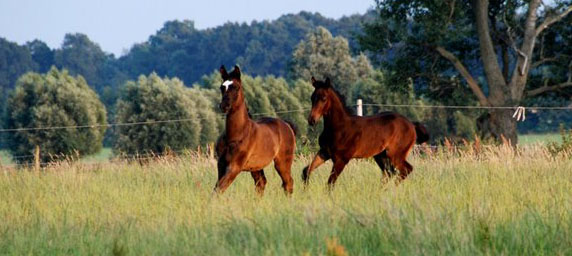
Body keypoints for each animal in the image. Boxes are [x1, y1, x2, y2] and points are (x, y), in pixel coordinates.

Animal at [213, 65, 298, 195]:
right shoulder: (221, 165)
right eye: (222, 87)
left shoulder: (234, 167)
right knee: (261, 184)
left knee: (288, 183)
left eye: (236, 87)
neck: (236, 134)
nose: (224, 106)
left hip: (282, 162)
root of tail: (287, 125)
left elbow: (219, 189)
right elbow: (217, 188)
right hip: (256, 167)